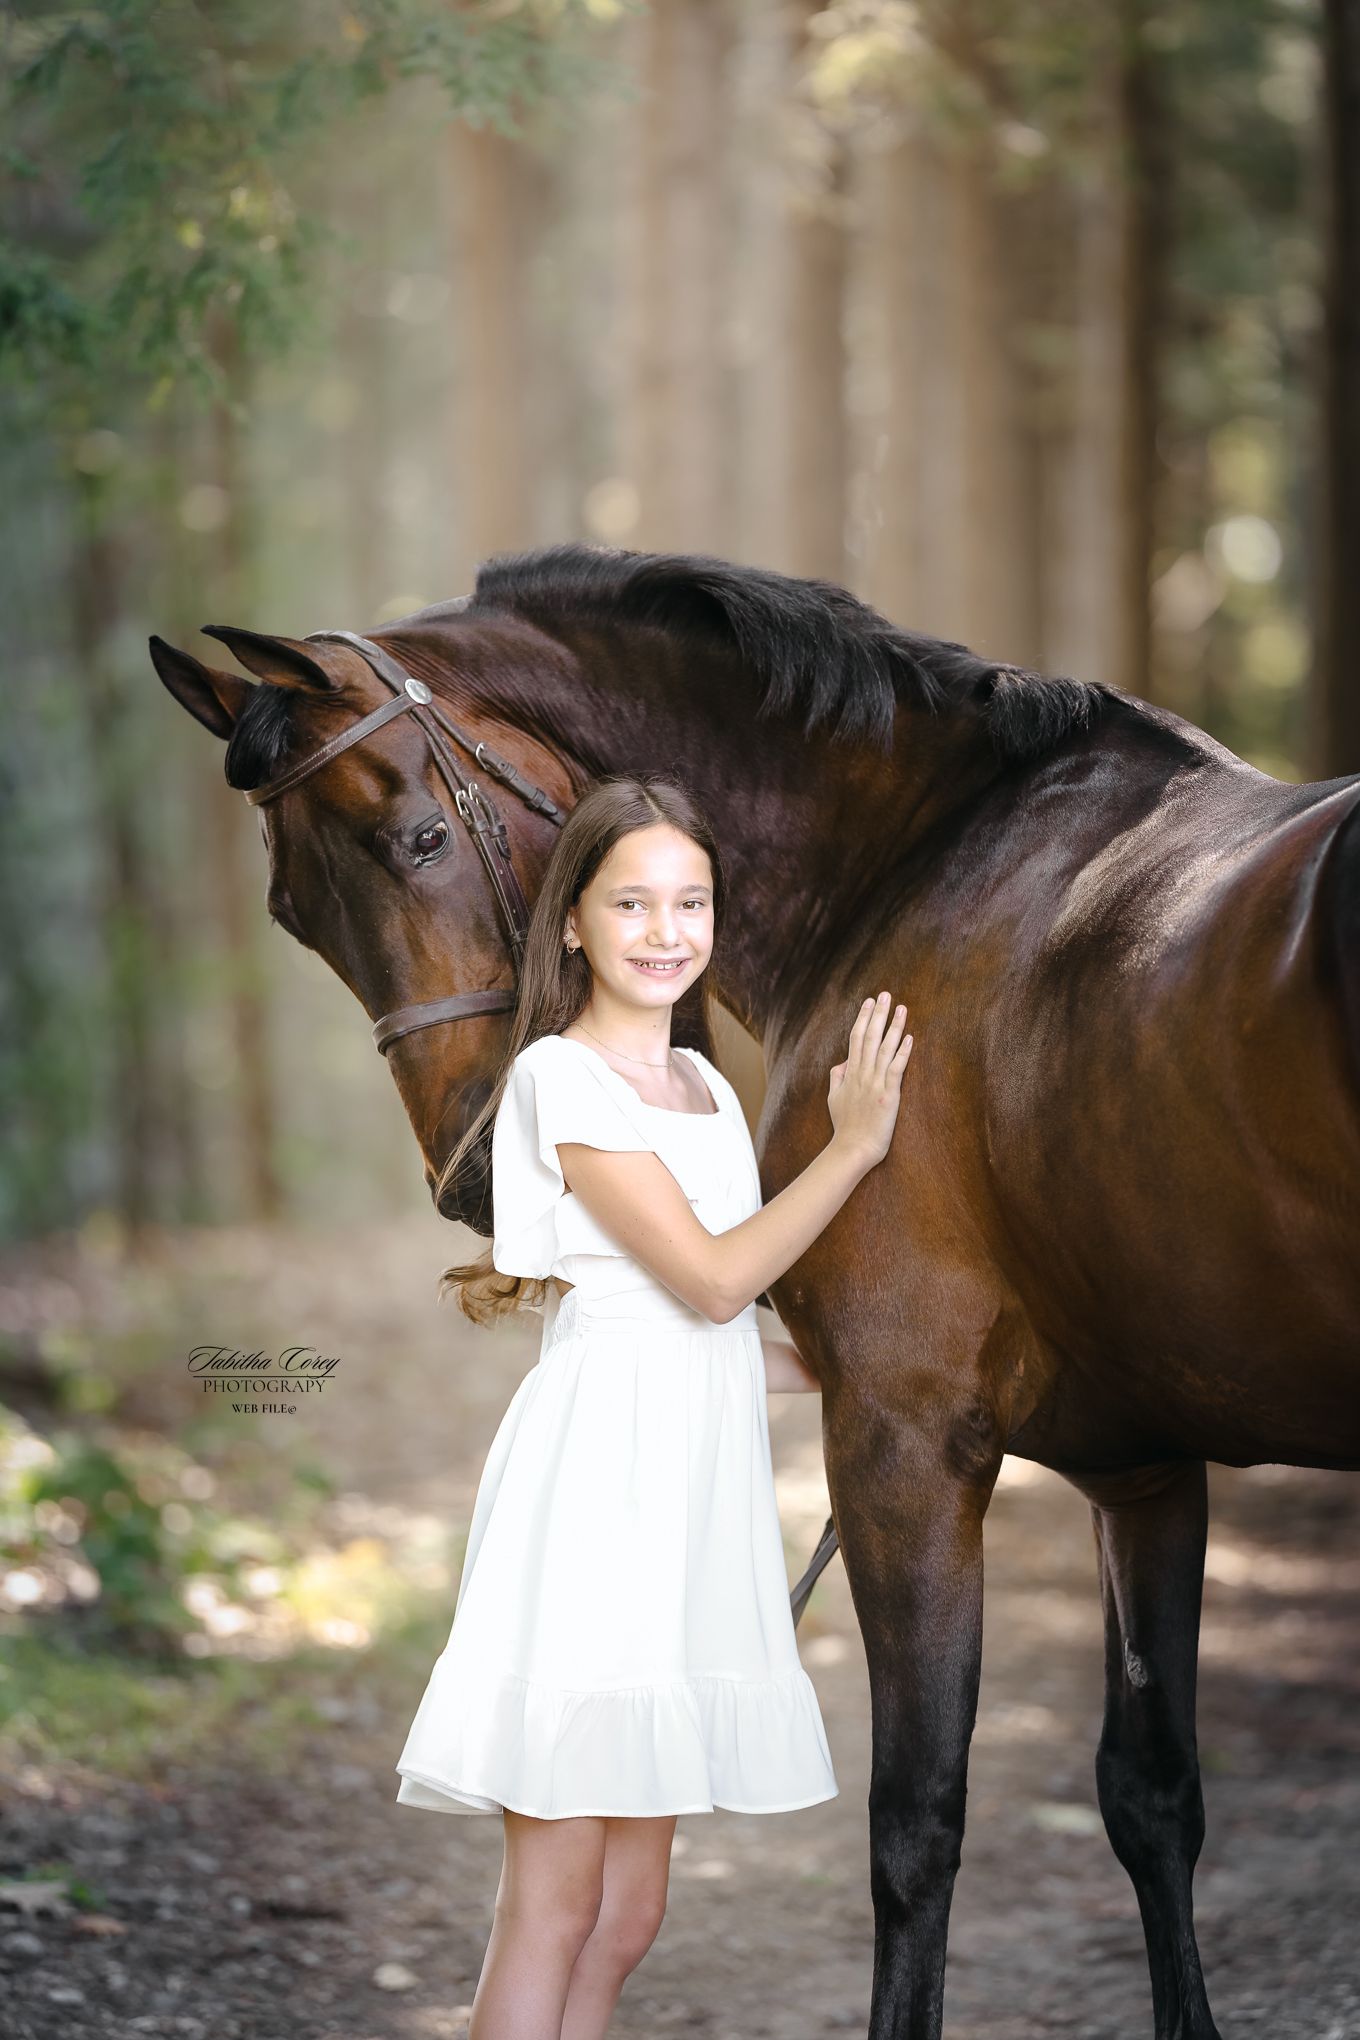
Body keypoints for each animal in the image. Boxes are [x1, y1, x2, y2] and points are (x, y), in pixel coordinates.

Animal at [150, 544, 1360, 2040]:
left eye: (423, 839)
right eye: (292, 913)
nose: (485, 1169)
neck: (916, 860)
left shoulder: (903, 1438)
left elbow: (913, 1825)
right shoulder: (1141, 1466)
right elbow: (1152, 1798)